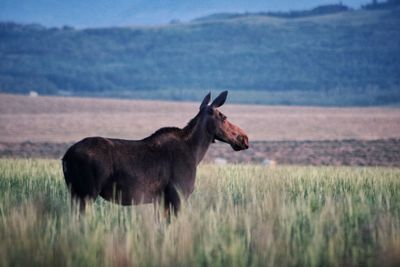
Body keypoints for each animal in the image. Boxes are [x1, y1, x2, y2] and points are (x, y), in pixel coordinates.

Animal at [61, 91, 248, 216]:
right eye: (223, 116)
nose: (244, 138)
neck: (196, 152)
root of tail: (65, 157)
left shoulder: (161, 200)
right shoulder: (177, 196)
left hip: (75, 194)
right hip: (86, 194)